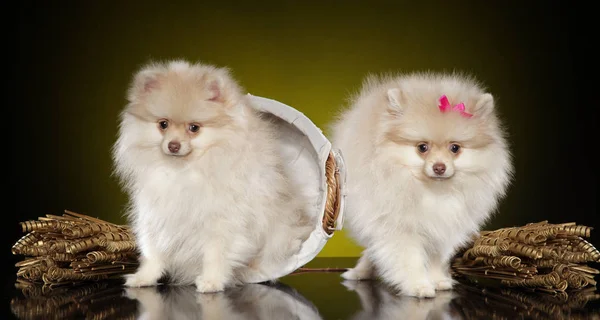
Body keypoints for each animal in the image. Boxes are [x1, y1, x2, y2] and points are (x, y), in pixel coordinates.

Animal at [330, 72, 512, 298]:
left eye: (455, 148)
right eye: (422, 148)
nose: (439, 167)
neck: (433, 191)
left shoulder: (442, 229)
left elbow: (435, 258)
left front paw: (438, 280)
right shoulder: (399, 228)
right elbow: (409, 259)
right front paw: (418, 285)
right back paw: (360, 272)